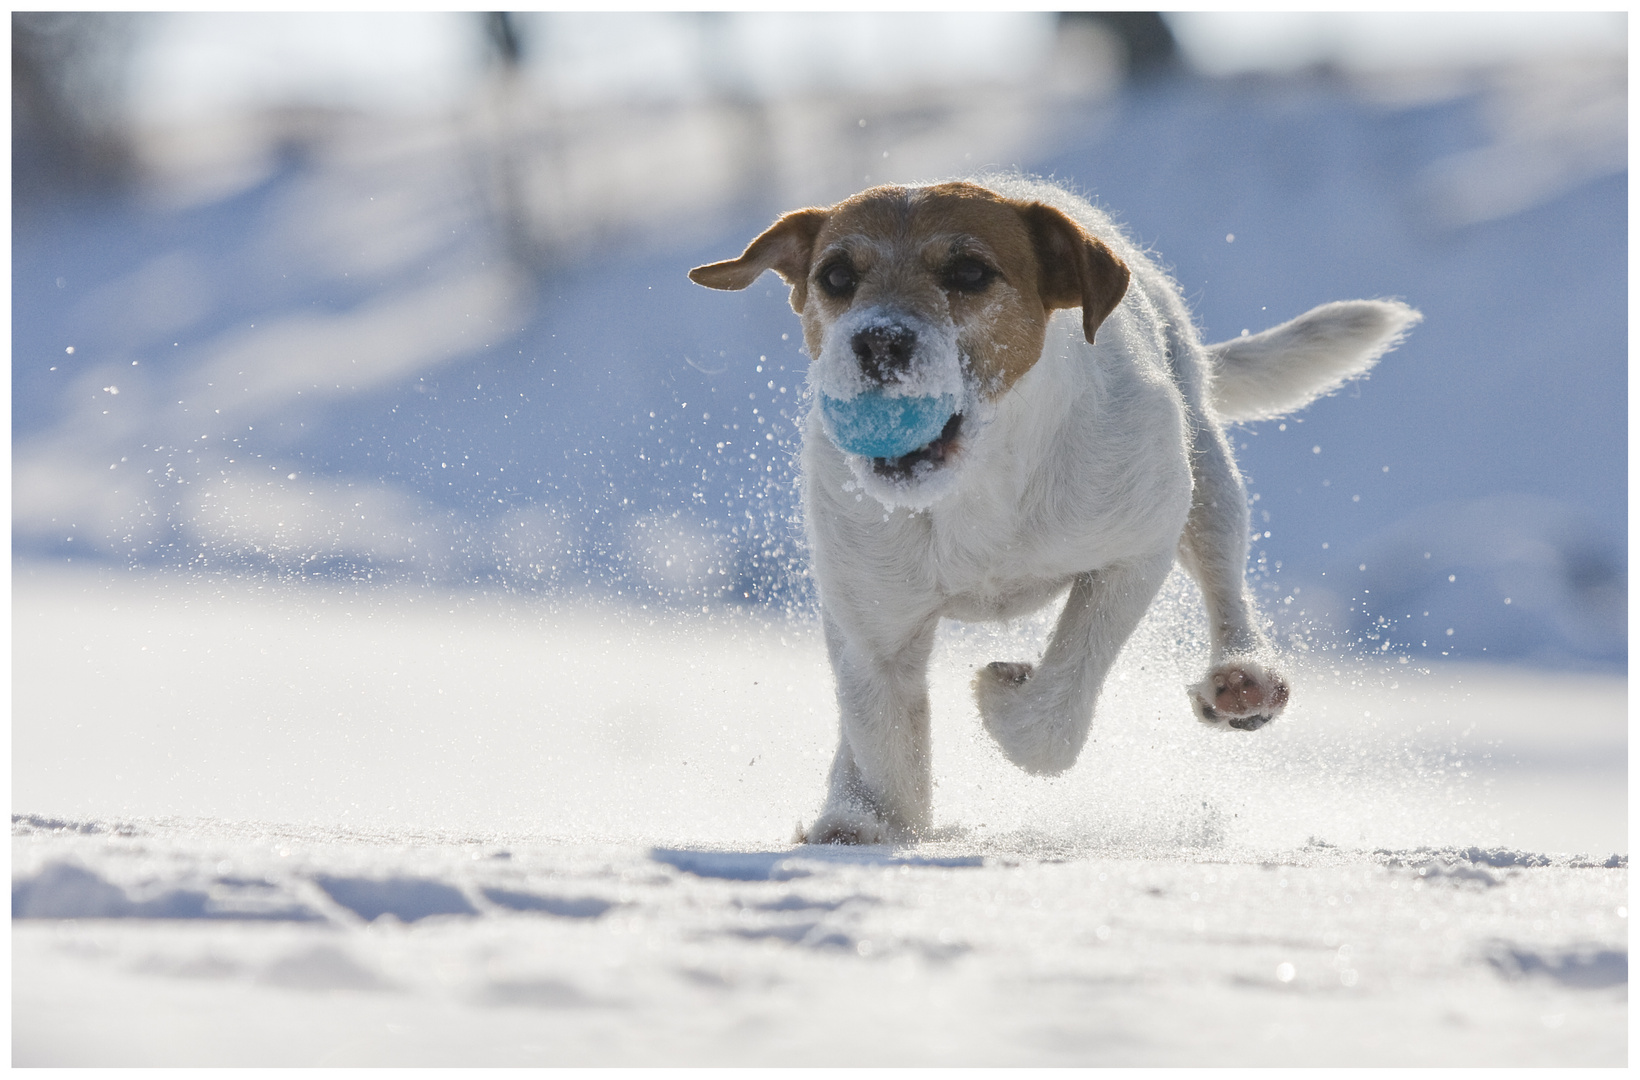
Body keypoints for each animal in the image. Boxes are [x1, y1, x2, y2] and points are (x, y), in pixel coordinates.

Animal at [685, 175, 1416, 845]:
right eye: (836, 275)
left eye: (969, 271)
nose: (878, 341)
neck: (978, 485)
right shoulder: (874, 624)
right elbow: (883, 736)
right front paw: (873, 823)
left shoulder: (1134, 549)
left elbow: (1056, 707)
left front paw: (1002, 690)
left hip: (1205, 476)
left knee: (1223, 575)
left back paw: (1244, 677)